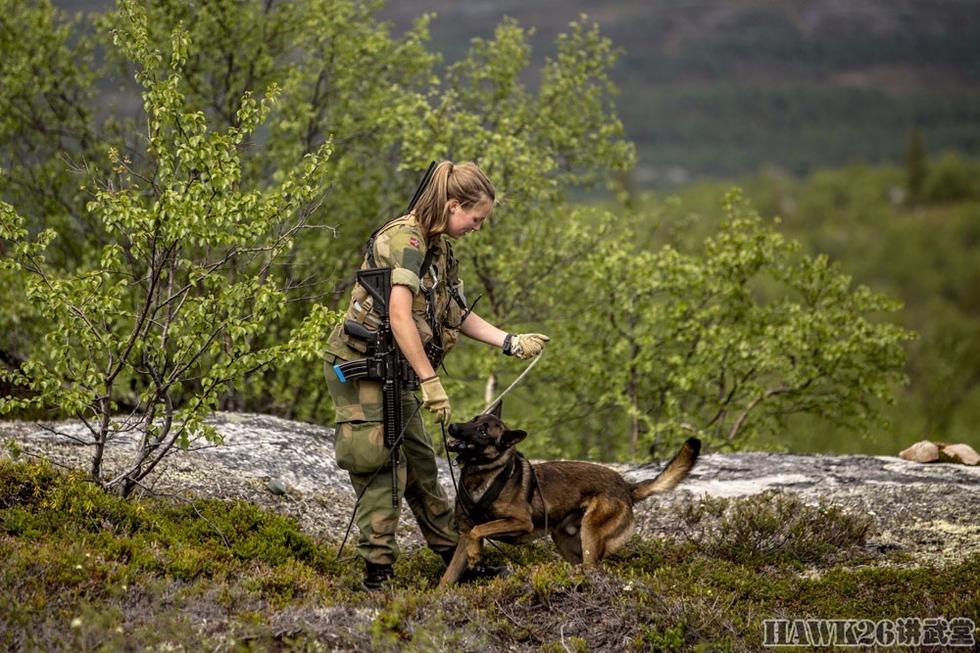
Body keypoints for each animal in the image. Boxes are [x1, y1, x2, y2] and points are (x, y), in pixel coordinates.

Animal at [440, 408, 700, 584]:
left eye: (483, 432)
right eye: (474, 419)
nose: (452, 427)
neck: (483, 473)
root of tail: (626, 486)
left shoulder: (520, 522)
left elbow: (479, 529)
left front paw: (476, 554)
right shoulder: (463, 534)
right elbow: (448, 576)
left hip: (590, 532)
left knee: (594, 569)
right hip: (565, 540)